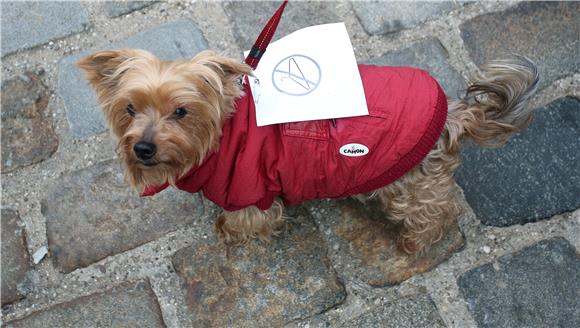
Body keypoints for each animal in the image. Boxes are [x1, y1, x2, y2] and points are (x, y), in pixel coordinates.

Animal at [77, 49, 540, 254]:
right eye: (129, 108)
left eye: (181, 111)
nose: (143, 147)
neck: (221, 133)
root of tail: (450, 118)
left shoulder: (250, 189)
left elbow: (251, 219)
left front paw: (228, 230)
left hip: (409, 183)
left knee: (436, 208)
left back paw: (416, 240)